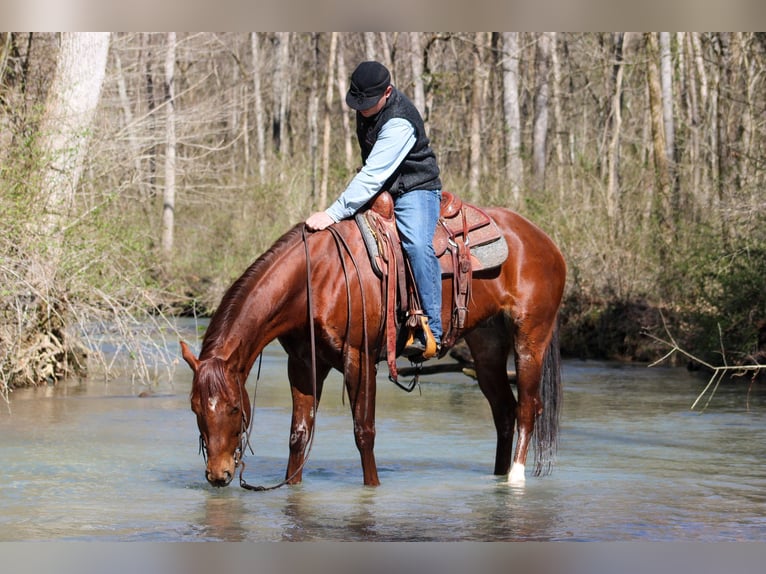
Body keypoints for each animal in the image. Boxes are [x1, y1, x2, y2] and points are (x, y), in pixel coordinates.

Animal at [180, 203, 566, 488]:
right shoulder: (304, 364)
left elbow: (364, 432)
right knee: (503, 411)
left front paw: (373, 489)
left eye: (234, 407)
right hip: (486, 349)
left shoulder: (359, 358)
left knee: (527, 407)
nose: (218, 475)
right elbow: (299, 435)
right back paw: (497, 477)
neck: (316, 277)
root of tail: (544, 239)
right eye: (195, 408)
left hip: (530, 338)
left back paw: (515, 478)